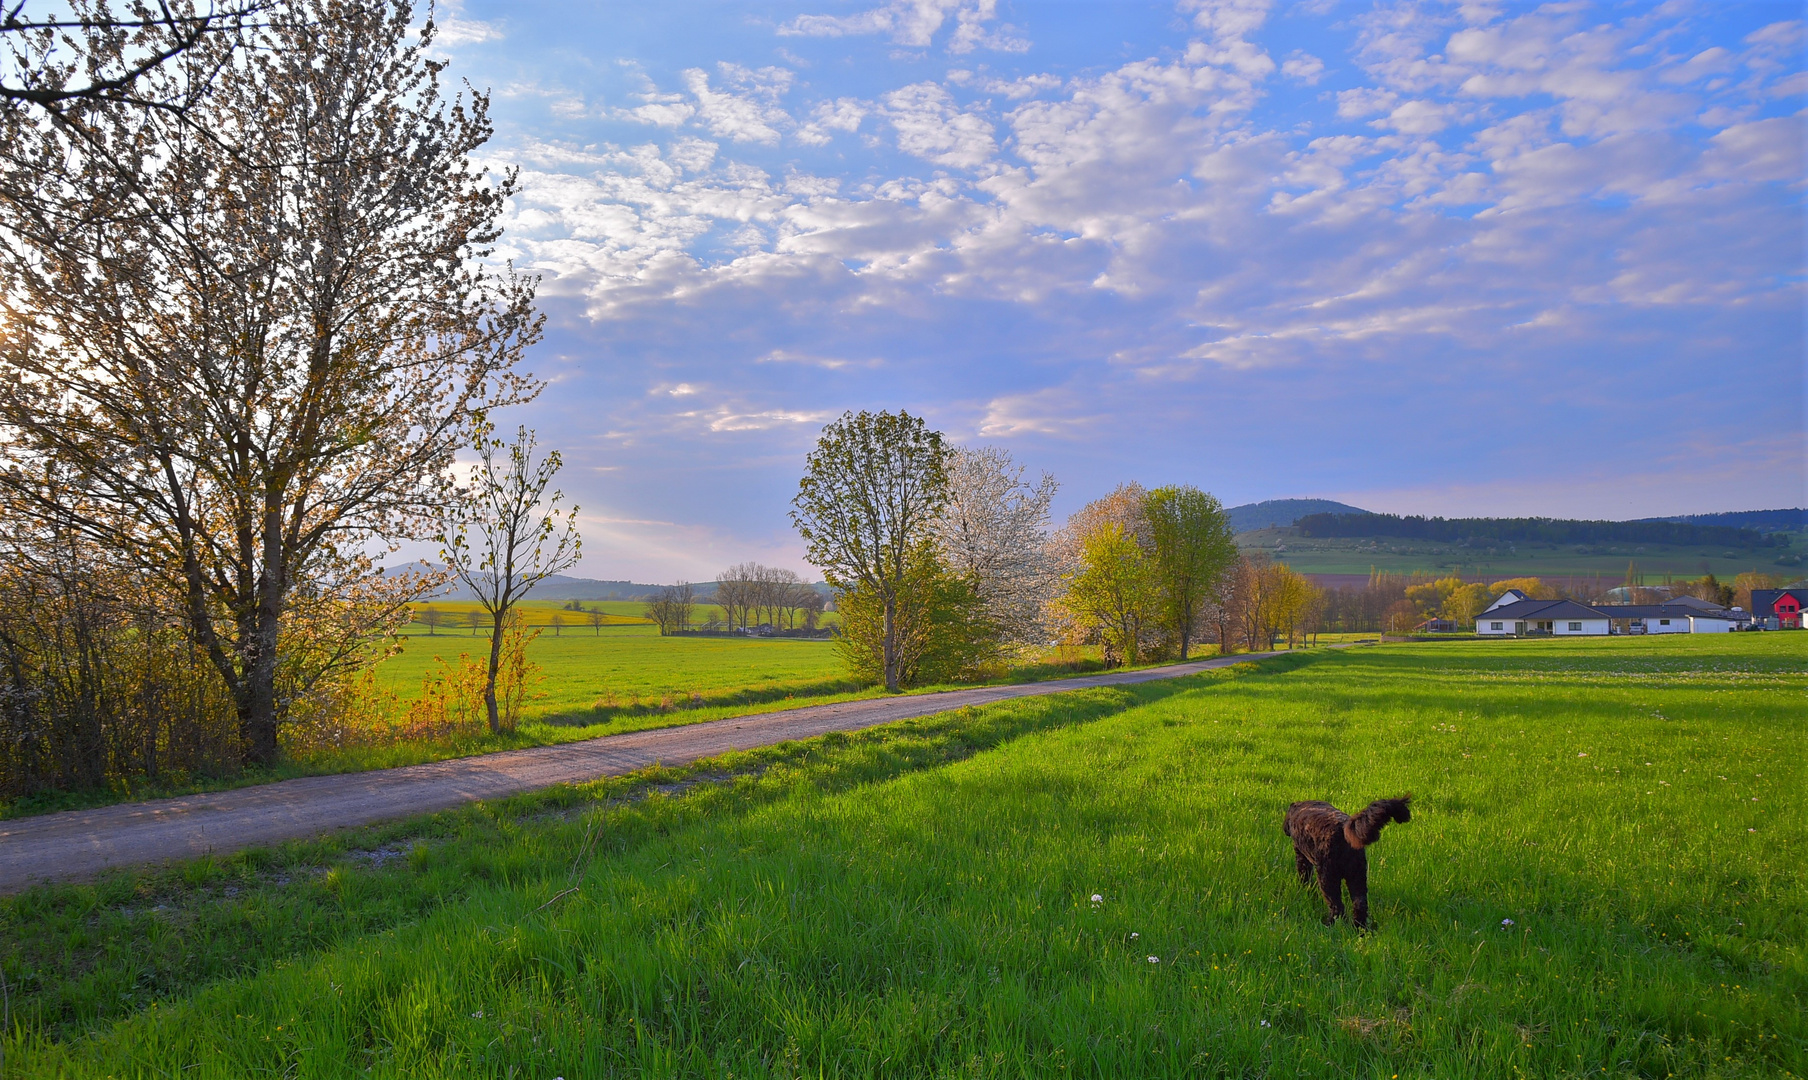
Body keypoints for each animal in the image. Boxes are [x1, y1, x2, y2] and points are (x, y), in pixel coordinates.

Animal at [1287, 792, 1410, 926]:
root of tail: (1342, 829)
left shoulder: (1302, 857)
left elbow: (1304, 876)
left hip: (1328, 877)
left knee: (1336, 906)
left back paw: (1330, 923)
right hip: (1357, 876)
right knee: (1360, 904)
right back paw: (1360, 926)